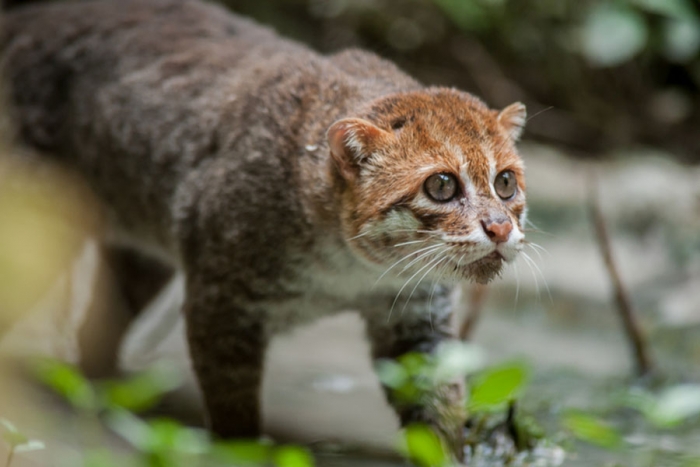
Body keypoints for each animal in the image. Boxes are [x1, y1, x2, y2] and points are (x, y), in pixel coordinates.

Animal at [1, 0, 524, 458]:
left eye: (505, 182)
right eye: (441, 185)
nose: (500, 229)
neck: (348, 270)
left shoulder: (417, 319)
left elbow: (439, 410)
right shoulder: (221, 305)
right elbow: (235, 417)